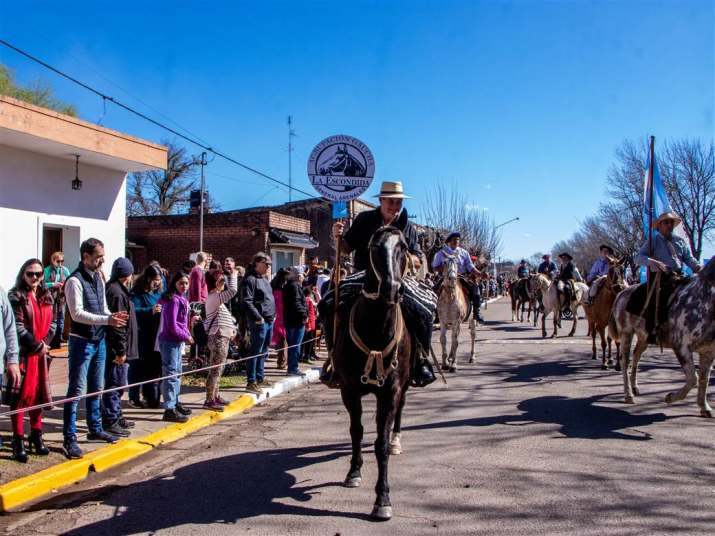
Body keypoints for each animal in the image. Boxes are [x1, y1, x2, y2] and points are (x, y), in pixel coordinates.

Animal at [332, 225, 412, 520]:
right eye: (373, 247)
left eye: (403, 246)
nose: (391, 288)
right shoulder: (349, 389)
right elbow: (356, 430)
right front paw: (354, 472)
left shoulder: (390, 391)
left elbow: (381, 444)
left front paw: (383, 499)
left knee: (398, 414)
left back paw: (397, 440)